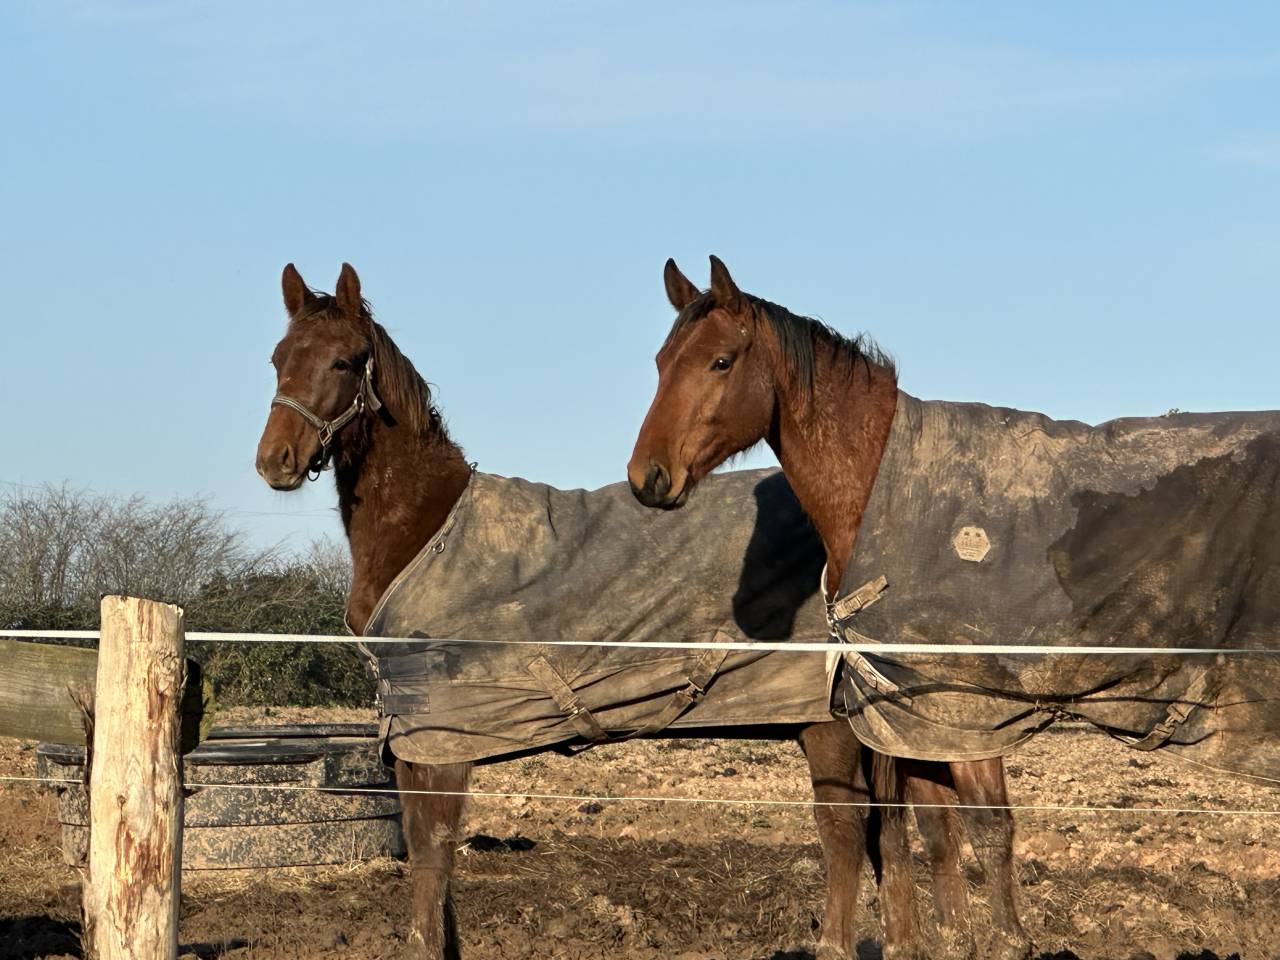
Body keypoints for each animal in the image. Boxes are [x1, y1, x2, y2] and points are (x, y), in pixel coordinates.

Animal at [254, 263, 970, 960]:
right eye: (278, 358)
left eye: (344, 361)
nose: (275, 462)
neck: (427, 532)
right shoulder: (413, 744)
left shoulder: (442, 741)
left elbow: (430, 869)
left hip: (827, 727)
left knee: (846, 835)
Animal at [627, 256, 1032, 960]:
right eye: (659, 362)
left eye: (721, 361)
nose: (647, 477)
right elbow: (917, 830)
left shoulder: (964, 710)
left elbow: (980, 826)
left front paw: (1005, 940)